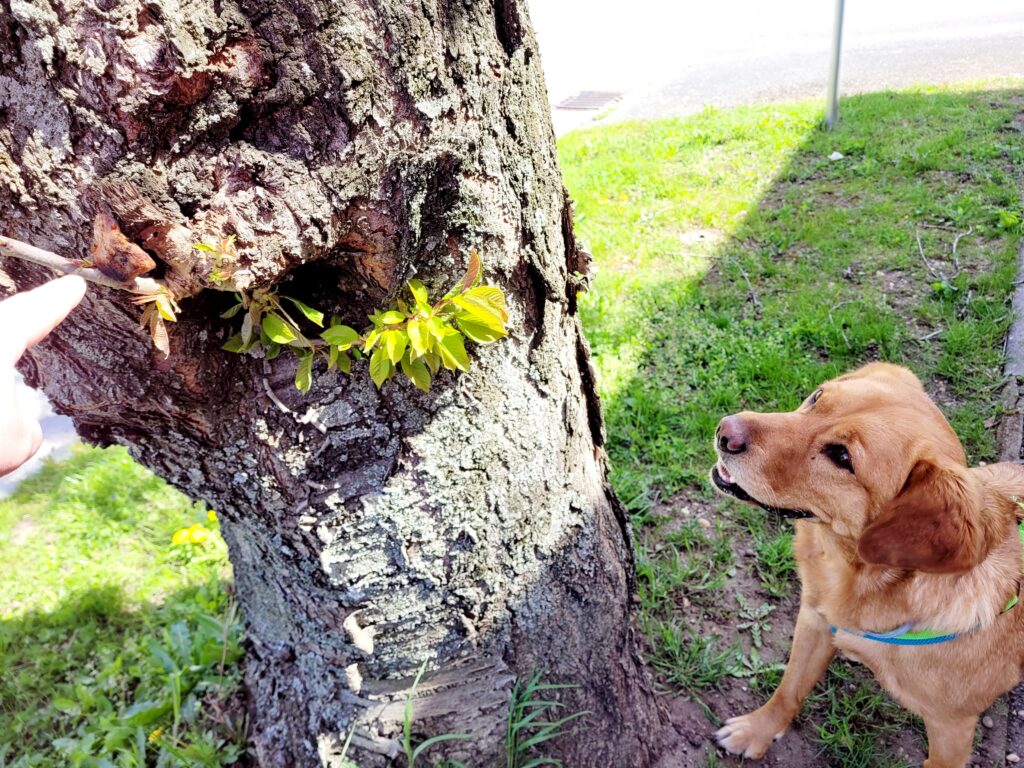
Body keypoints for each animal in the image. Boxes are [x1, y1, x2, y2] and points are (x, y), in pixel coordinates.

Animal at [712, 362, 1024, 768]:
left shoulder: (951, 731)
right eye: (817, 397)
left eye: (842, 456)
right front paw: (756, 730)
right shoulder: (814, 620)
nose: (725, 431)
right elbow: (788, 690)